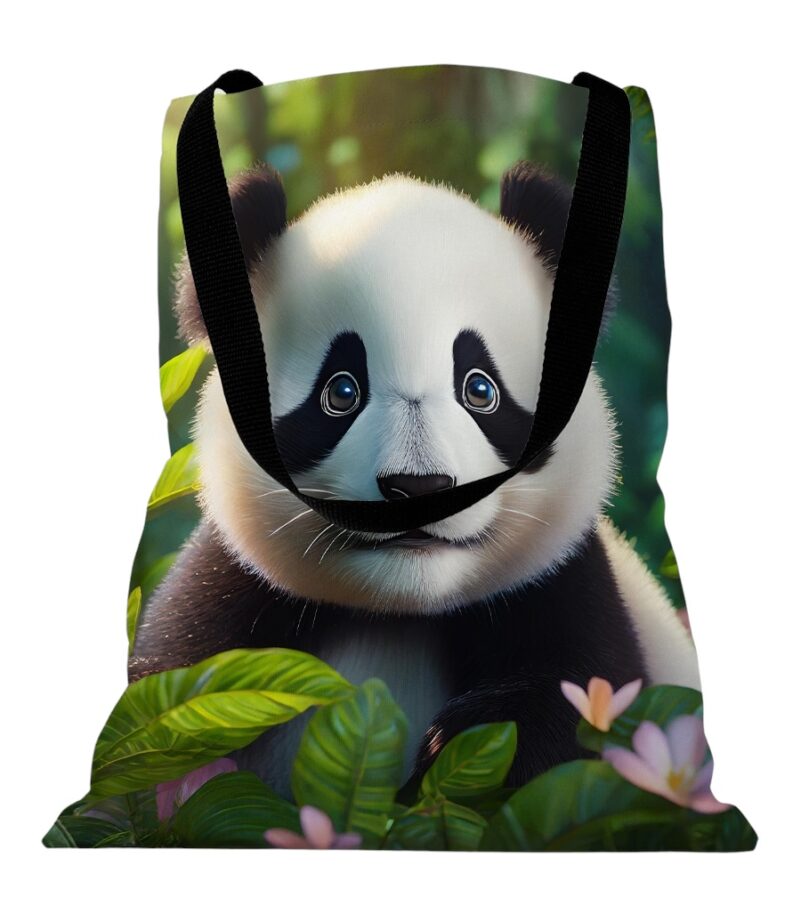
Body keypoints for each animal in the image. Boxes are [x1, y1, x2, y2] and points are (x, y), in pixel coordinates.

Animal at [131, 160, 699, 797]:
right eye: (341, 392)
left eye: (480, 389)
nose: (418, 488)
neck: (400, 609)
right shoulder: (224, 605)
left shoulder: (564, 591)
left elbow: (568, 715)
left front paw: (458, 740)